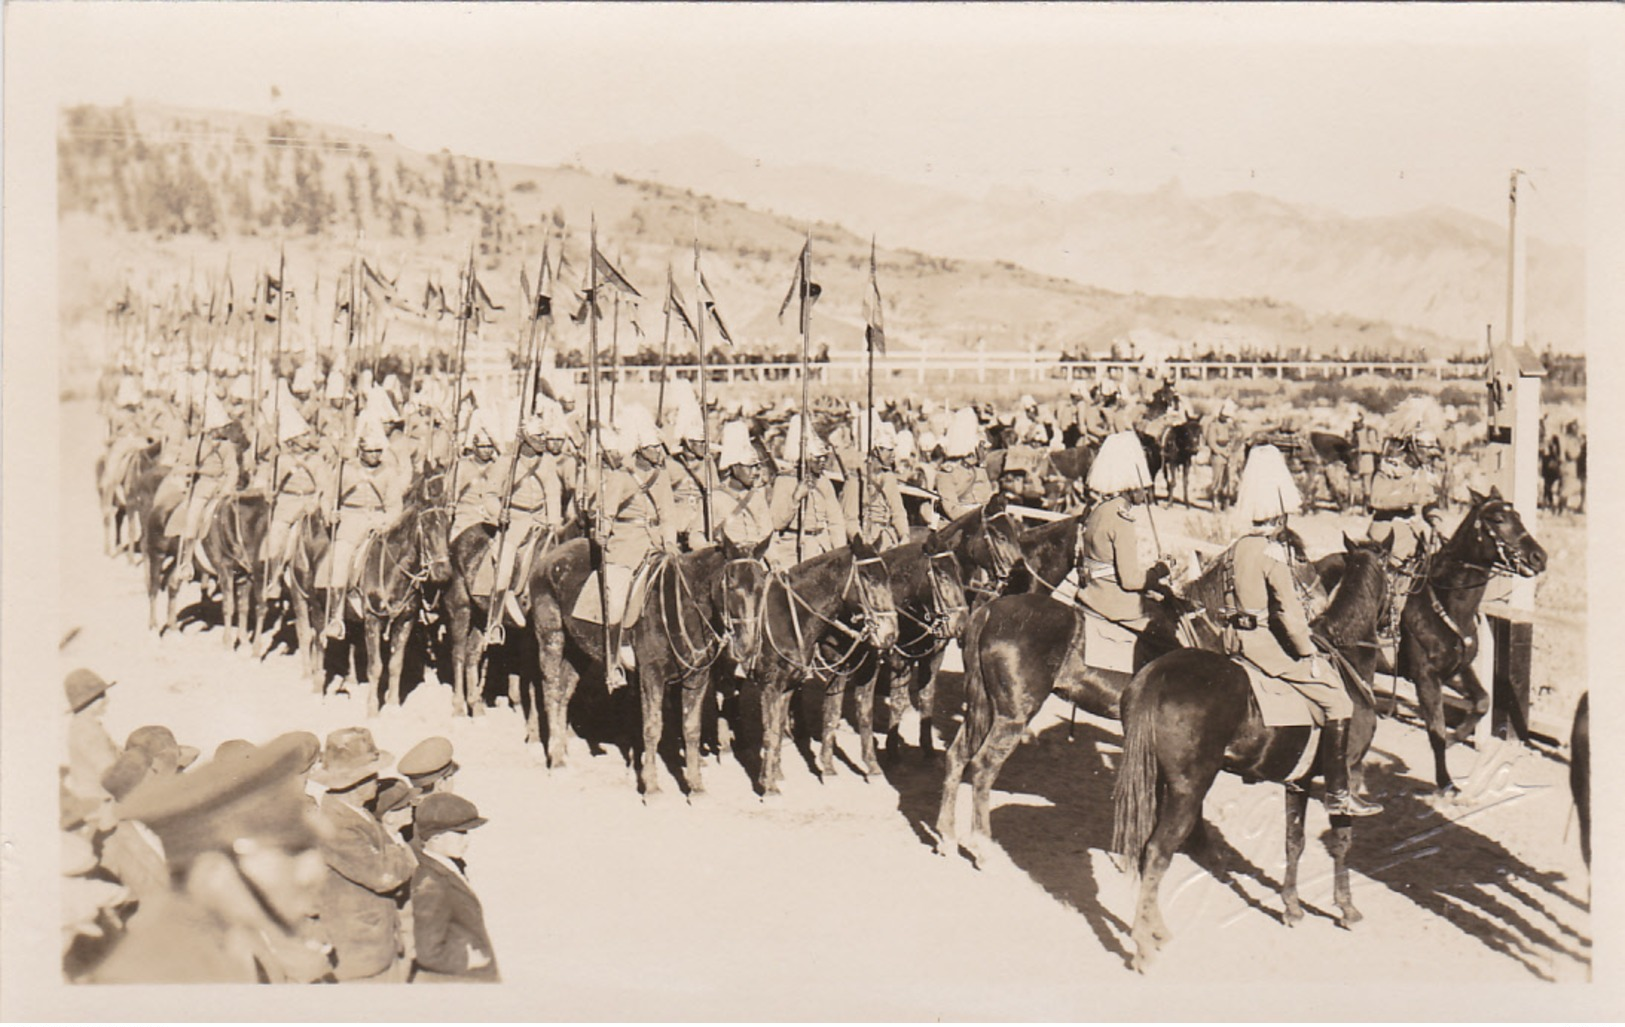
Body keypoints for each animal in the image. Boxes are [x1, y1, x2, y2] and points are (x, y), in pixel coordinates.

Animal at [747, 536, 903, 793]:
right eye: (867, 577)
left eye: (889, 577)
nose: (890, 635)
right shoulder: (831, 670)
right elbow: (829, 713)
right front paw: (827, 769)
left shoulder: (867, 668)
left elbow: (863, 715)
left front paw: (872, 767)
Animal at [1111, 536, 1391, 968]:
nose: (1391, 624)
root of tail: (1158, 675)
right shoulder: (1346, 772)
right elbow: (1342, 839)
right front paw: (1346, 908)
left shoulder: (1298, 782)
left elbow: (1294, 842)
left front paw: (1292, 907)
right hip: (1189, 789)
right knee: (1158, 851)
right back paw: (1143, 944)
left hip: (1156, 780)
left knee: (1147, 848)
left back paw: (1157, 929)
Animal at [1391, 487, 1540, 793]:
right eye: (1497, 519)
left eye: (1519, 516)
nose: (1539, 557)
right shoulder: (1426, 677)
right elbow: (1436, 729)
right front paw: (1446, 782)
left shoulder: (1455, 670)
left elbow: (1482, 702)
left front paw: (1454, 737)